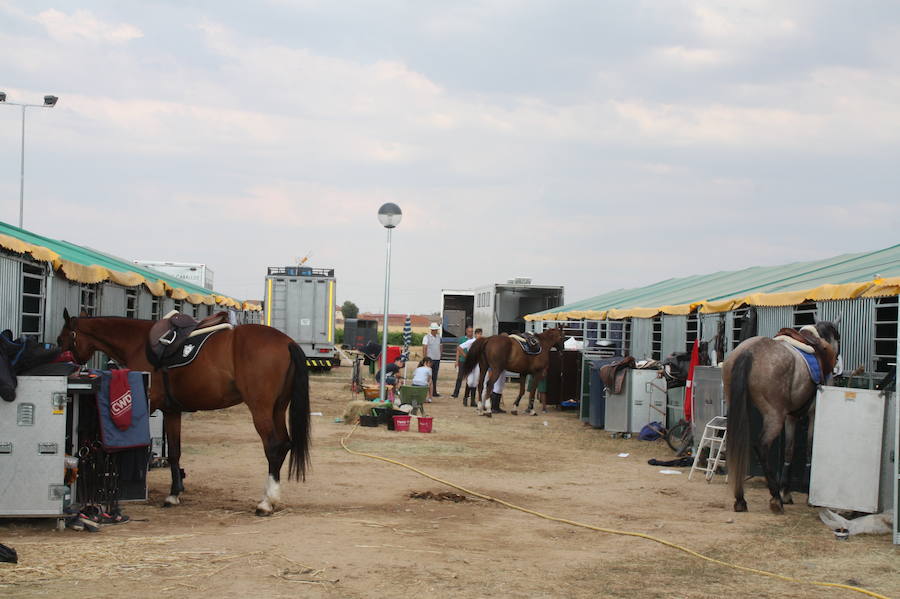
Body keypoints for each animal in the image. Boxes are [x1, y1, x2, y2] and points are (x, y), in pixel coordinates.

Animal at [57, 310, 310, 516]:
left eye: (62, 339)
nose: (67, 364)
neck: (137, 343)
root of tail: (287, 342)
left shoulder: (149, 404)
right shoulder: (172, 411)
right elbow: (174, 453)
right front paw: (174, 494)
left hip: (260, 409)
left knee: (273, 447)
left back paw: (266, 503)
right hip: (278, 408)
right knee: (284, 444)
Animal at [720, 322, 840, 512]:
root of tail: (749, 352)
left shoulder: (791, 417)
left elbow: (789, 450)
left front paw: (786, 491)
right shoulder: (813, 413)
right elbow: (809, 447)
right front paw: (805, 492)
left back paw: (741, 499)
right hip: (774, 415)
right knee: (761, 446)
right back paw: (775, 497)